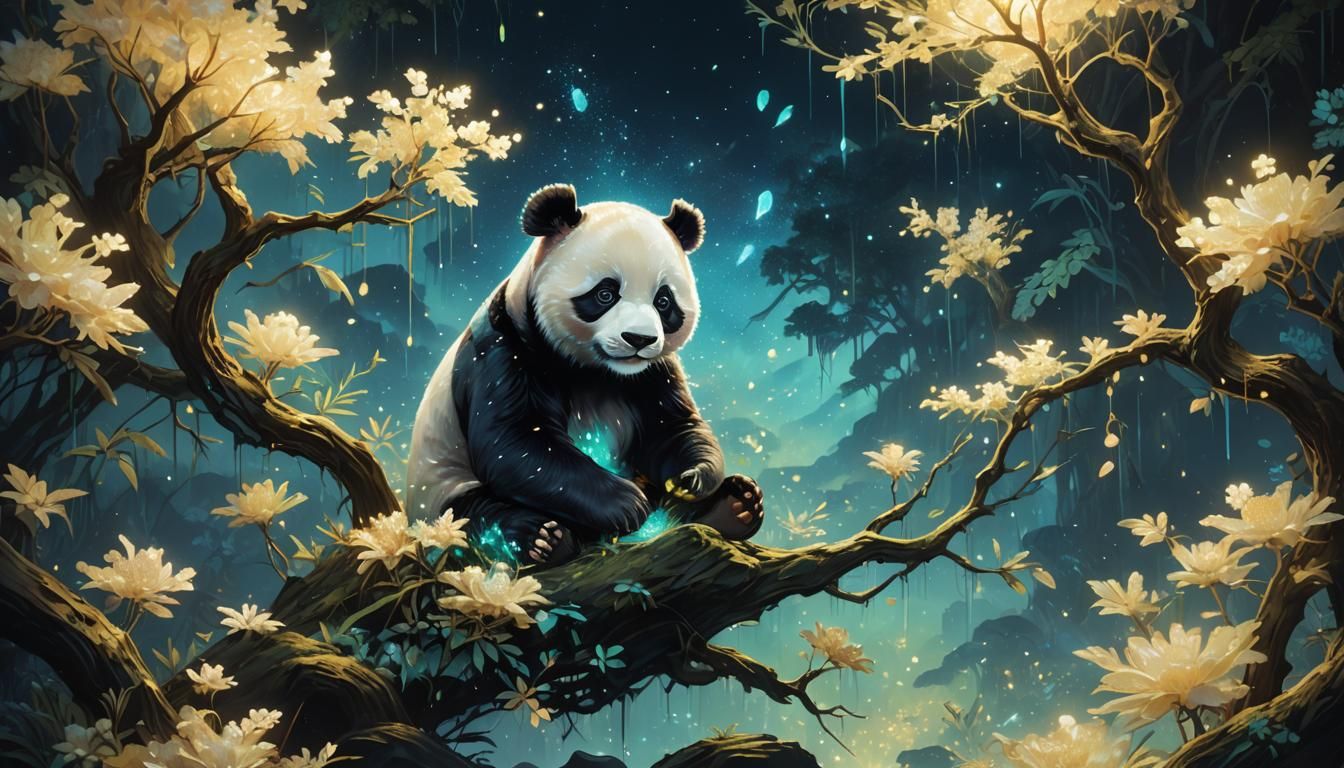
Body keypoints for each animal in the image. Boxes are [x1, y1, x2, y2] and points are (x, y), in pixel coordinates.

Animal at [407, 183, 764, 566]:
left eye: (664, 301)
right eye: (605, 294)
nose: (639, 339)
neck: (595, 369)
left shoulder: (652, 372)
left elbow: (671, 426)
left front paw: (692, 478)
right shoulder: (506, 348)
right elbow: (515, 442)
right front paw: (627, 503)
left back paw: (736, 506)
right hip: (440, 487)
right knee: (475, 513)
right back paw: (545, 538)